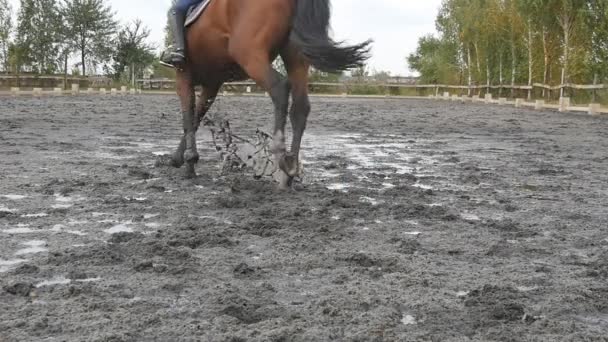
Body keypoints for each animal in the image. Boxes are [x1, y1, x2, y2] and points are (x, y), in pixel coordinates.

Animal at [169, 0, 372, 188]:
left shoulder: (184, 75)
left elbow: (188, 115)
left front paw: (189, 162)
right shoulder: (212, 83)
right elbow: (196, 116)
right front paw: (178, 158)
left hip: (250, 54)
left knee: (280, 88)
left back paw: (280, 154)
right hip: (295, 56)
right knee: (300, 107)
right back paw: (290, 170)